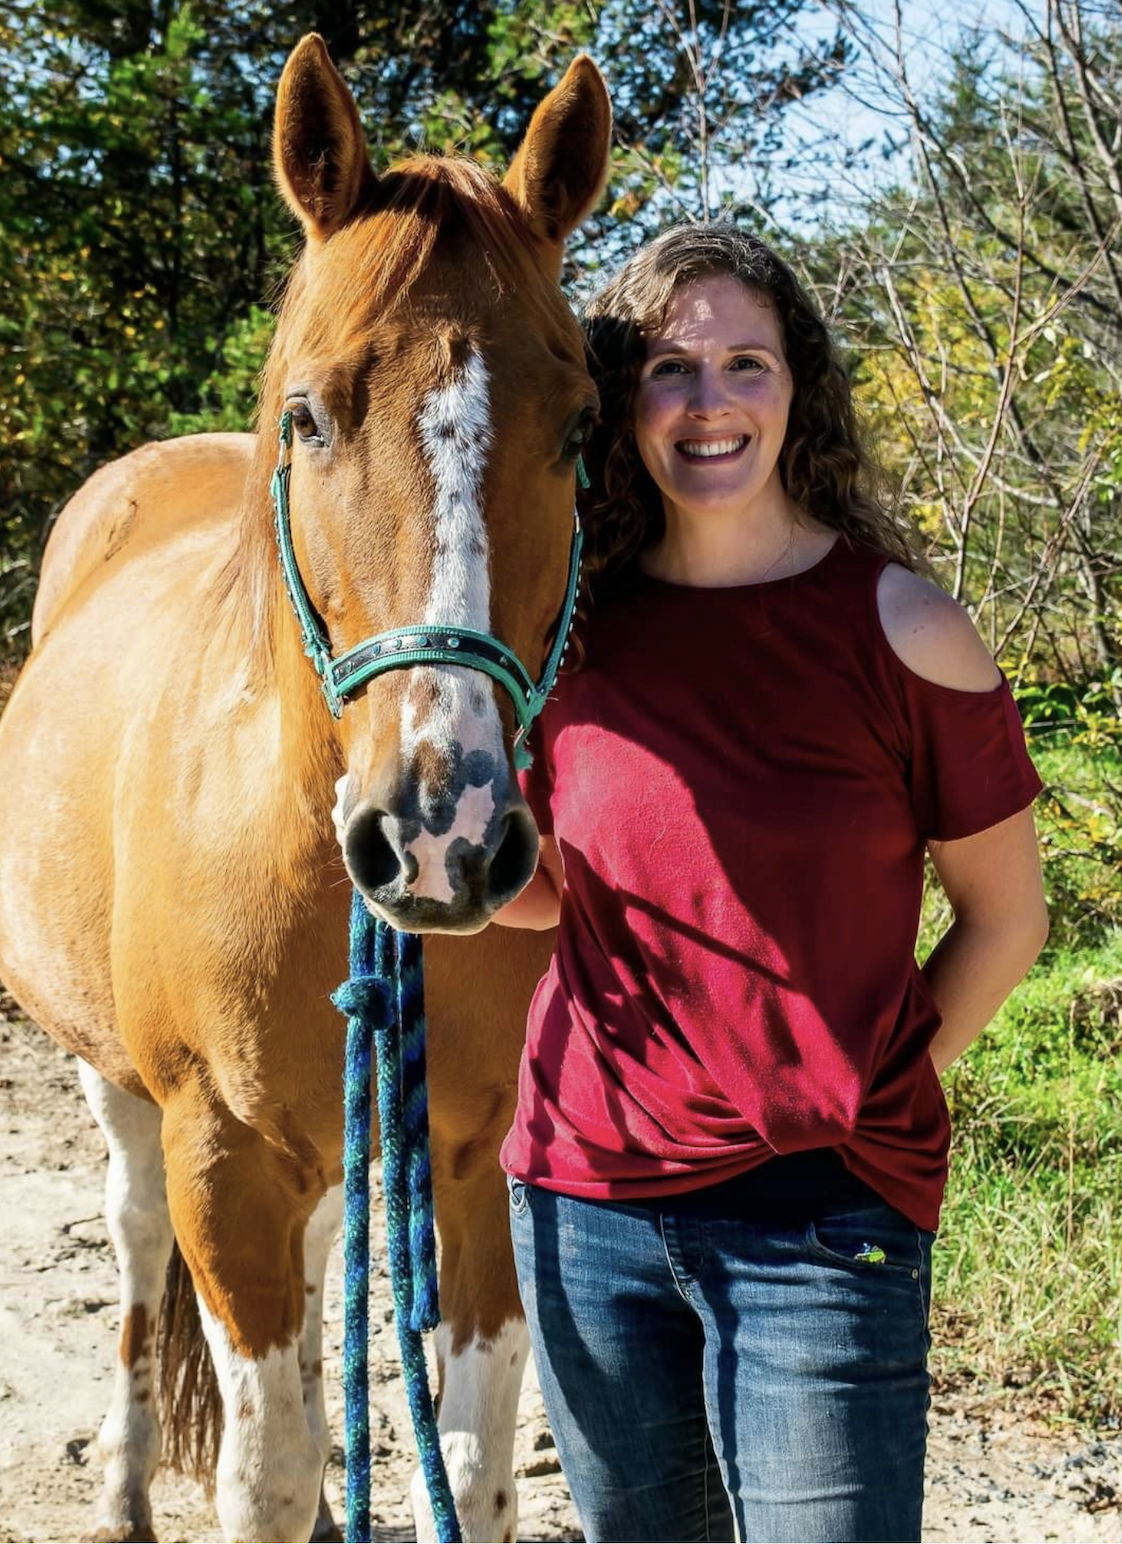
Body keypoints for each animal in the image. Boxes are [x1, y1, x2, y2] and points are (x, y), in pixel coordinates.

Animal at [0, 34, 611, 1543]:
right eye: (307, 414)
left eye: (581, 427)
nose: (445, 835)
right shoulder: (222, 1161)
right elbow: (261, 1473)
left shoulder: (475, 1164)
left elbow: (478, 1469)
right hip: (118, 1091)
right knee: (134, 1246)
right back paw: (122, 1487)